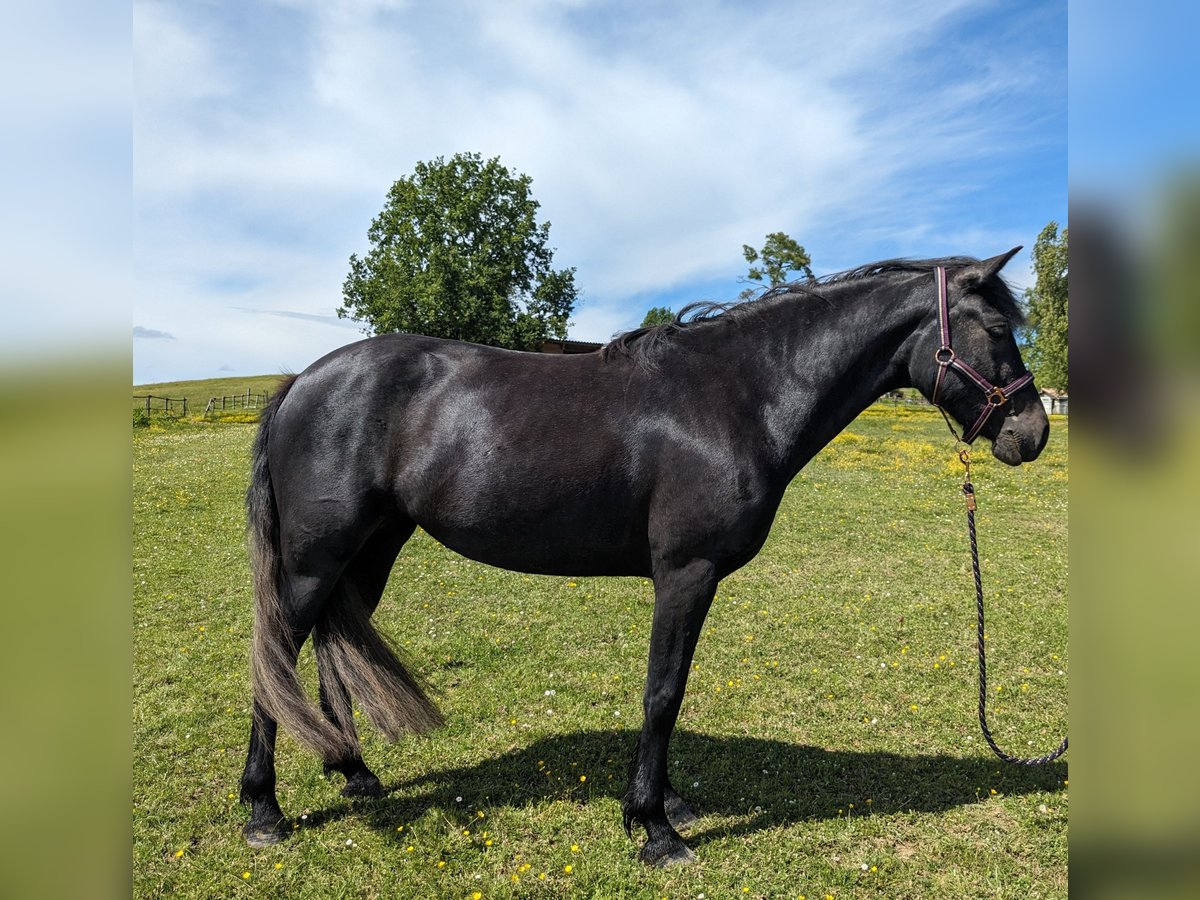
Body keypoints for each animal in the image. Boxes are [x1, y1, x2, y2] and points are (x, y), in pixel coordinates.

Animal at [238, 247, 1046, 868]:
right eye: (996, 327)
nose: (1032, 432)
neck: (737, 395)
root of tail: (301, 382)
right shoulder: (685, 576)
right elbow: (664, 693)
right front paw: (655, 828)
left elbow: (669, 693)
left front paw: (668, 805)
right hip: (315, 561)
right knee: (275, 656)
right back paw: (263, 813)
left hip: (370, 551)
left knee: (330, 654)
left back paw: (353, 771)